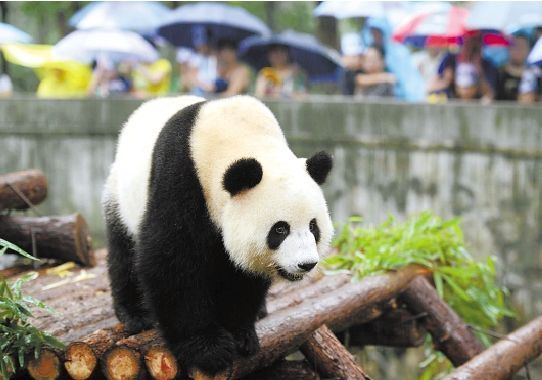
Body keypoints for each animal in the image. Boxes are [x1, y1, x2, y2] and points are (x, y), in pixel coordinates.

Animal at [103, 95, 336, 378]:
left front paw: (240, 334)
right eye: (280, 229)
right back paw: (135, 313)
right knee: (124, 251)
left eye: (313, 226)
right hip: (121, 195)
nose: (306, 264)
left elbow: (241, 274)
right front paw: (209, 349)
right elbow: (171, 261)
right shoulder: (182, 180)